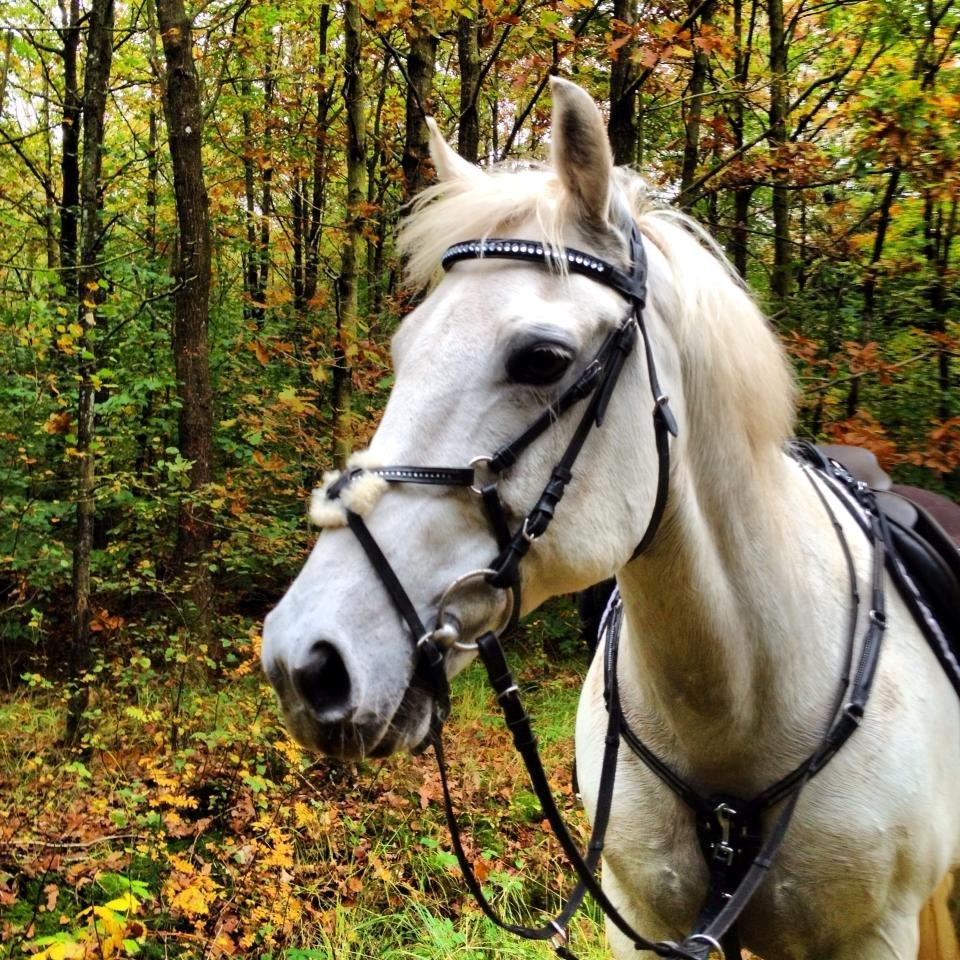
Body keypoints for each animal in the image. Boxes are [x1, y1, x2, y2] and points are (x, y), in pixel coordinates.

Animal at [258, 79, 956, 956]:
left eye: (543, 359)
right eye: (404, 349)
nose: (305, 661)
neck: (739, 699)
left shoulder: (873, 936)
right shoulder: (640, 919)